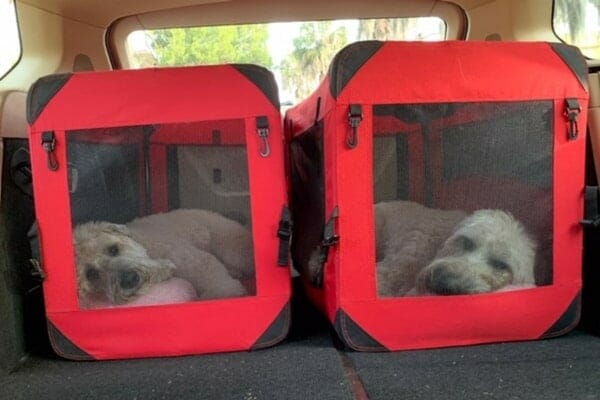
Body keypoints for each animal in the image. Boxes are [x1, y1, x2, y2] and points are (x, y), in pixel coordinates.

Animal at [74, 209, 254, 306]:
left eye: (113, 249)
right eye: (91, 274)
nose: (129, 279)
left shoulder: (191, 258)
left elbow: (217, 280)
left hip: (231, 248)